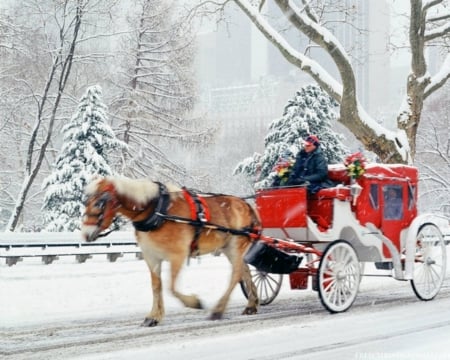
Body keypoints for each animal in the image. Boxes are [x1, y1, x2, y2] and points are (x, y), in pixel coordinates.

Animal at [81, 176, 260, 328]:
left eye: (99, 203)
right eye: (86, 202)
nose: (86, 234)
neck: (156, 210)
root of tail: (247, 206)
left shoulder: (177, 255)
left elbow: (171, 287)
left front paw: (194, 302)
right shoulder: (151, 257)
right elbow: (156, 286)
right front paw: (153, 316)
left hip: (236, 245)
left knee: (235, 275)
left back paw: (218, 310)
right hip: (228, 248)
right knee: (244, 271)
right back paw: (252, 304)